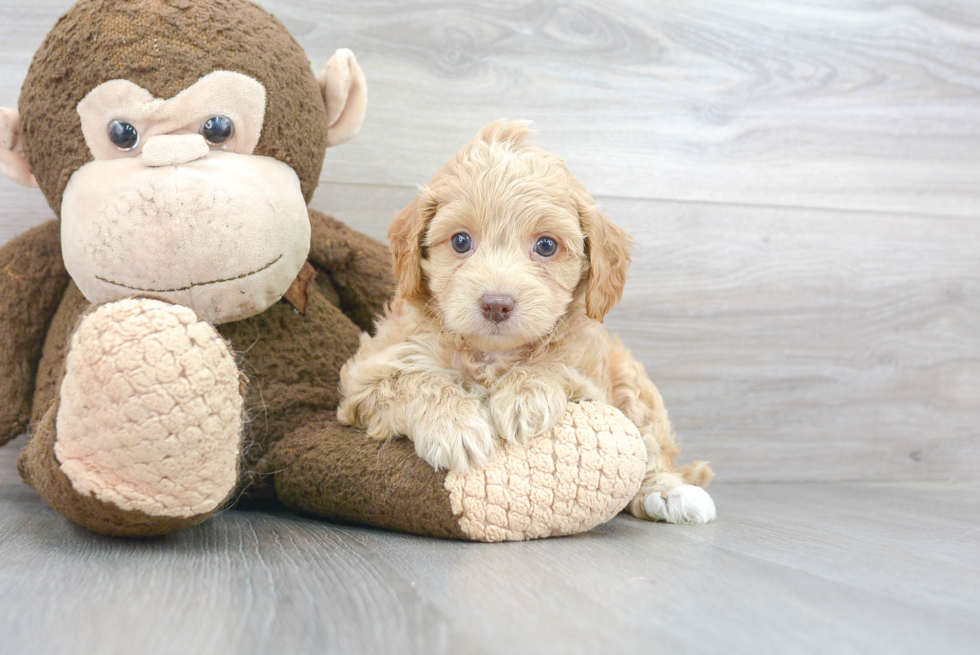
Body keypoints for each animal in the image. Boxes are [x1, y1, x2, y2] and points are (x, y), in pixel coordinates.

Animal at [340, 120, 716, 524]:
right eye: (460, 241)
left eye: (546, 246)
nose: (496, 304)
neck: (492, 355)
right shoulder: (364, 378)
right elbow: (413, 379)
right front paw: (456, 424)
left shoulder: (593, 382)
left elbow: (556, 363)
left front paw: (524, 396)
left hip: (632, 383)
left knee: (650, 445)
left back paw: (671, 492)